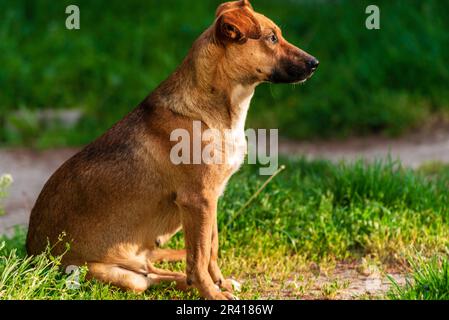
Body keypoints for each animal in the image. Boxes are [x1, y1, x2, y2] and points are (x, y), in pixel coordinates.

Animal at [26, 0, 316, 300]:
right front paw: (212, 294)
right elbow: (200, 258)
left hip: (138, 268)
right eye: (272, 38)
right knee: (158, 274)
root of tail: (31, 257)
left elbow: (210, 251)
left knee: (161, 271)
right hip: (119, 276)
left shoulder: (211, 200)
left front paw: (220, 285)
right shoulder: (198, 200)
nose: (314, 64)